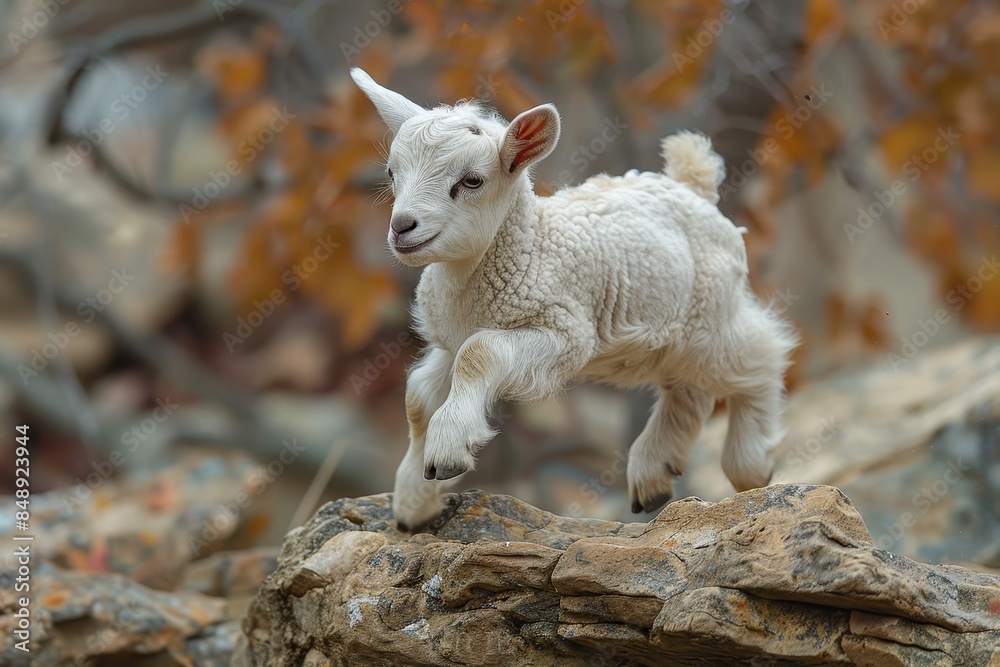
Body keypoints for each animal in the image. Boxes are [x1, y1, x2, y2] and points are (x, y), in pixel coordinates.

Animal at [351, 68, 797, 531]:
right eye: (391, 173)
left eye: (471, 180)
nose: (402, 227)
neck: (529, 246)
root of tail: (692, 186)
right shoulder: (447, 343)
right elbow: (418, 397)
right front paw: (412, 503)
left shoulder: (563, 333)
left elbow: (480, 354)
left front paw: (446, 452)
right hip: (679, 333)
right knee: (690, 388)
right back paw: (654, 475)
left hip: (711, 313)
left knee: (762, 354)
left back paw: (750, 466)